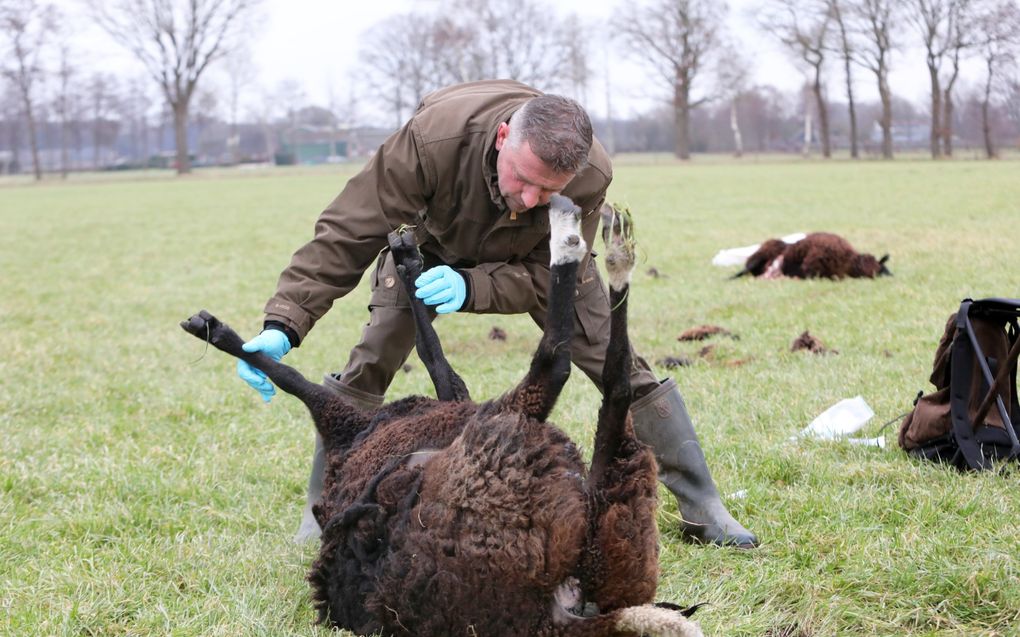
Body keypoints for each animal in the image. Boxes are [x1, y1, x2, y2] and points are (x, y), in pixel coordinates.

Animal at [179, 194, 701, 635]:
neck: (352, 446)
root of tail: (551, 615)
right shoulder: (400, 414)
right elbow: (408, 358)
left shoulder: (387, 414)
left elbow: (405, 356)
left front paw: (409, 261)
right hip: (531, 451)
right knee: (578, 372)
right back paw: (597, 243)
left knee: (586, 374)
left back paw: (594, 241)